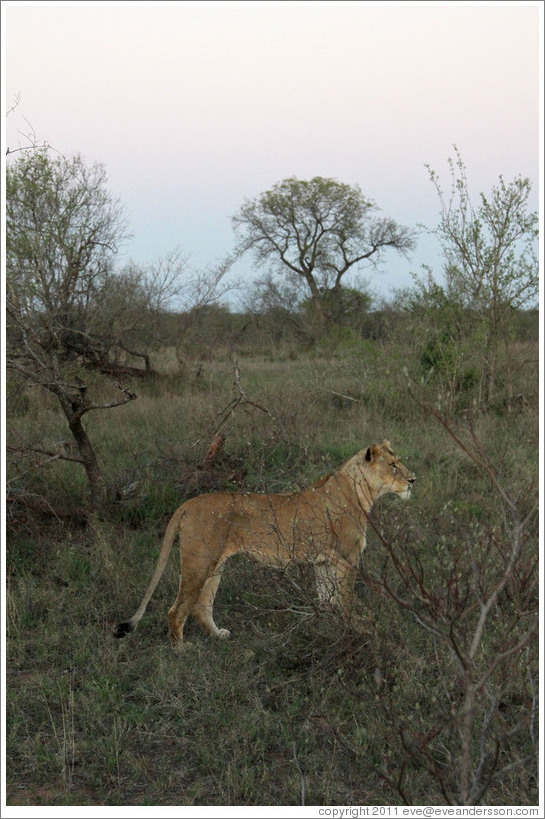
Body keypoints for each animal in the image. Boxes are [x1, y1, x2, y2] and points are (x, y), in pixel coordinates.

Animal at [114, 440, 415, 647]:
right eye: (393, 466)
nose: (413, 480)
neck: (362, 492)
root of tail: (188, 504)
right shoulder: (347, 558)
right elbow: (346, 600)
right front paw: (354, 631)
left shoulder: (324, 561)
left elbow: (329, 600)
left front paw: (332, 629)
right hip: (197, 564)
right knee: (176, 611)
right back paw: (181, 652)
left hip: (215, 565)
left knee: (201, 607)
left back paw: (219, 635)